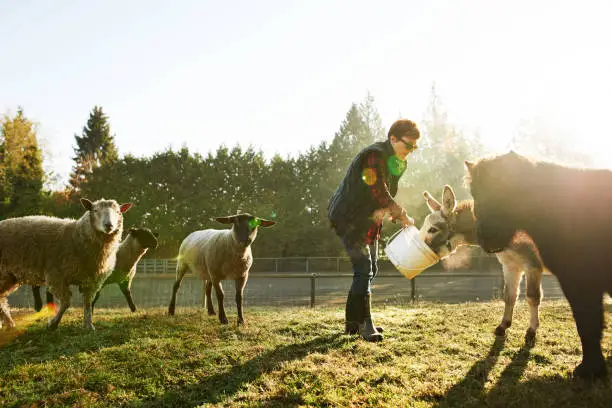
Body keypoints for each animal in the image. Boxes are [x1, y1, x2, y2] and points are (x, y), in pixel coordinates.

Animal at [0, 198, 133, 332]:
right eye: (95, 210)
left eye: (118, 212)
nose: (109, 225)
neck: (76, 236)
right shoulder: (56, 276)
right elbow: (66, 302)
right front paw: (53, 324)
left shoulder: (91, 281)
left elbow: (87, 303)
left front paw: (89, 325)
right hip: (3, 273)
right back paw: (9, 323)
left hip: (10, 277)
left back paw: (9, 324)